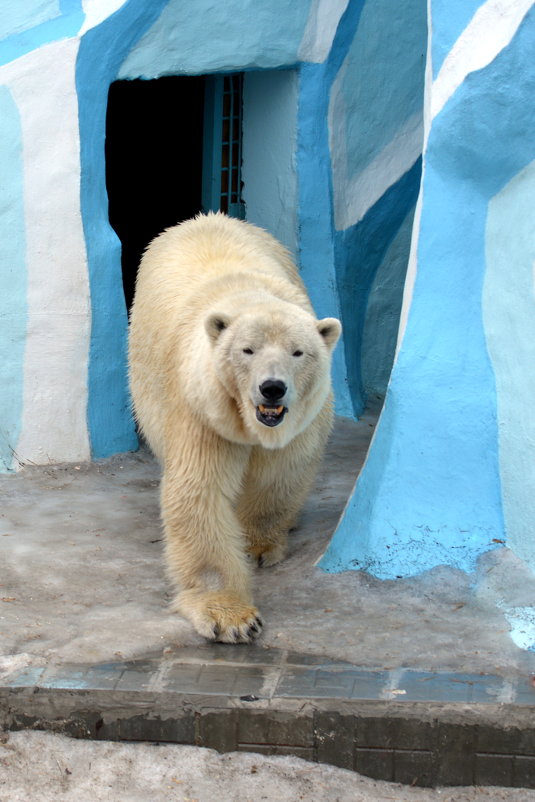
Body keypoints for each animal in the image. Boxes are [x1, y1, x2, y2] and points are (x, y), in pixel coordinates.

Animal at [127, 212, 342, 644]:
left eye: (299, 352)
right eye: (247, 350)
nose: (272, 387)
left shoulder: (299, 421)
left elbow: (280, 473)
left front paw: (259, 547)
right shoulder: (203, 411)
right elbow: (200, 493)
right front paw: (231, 617)